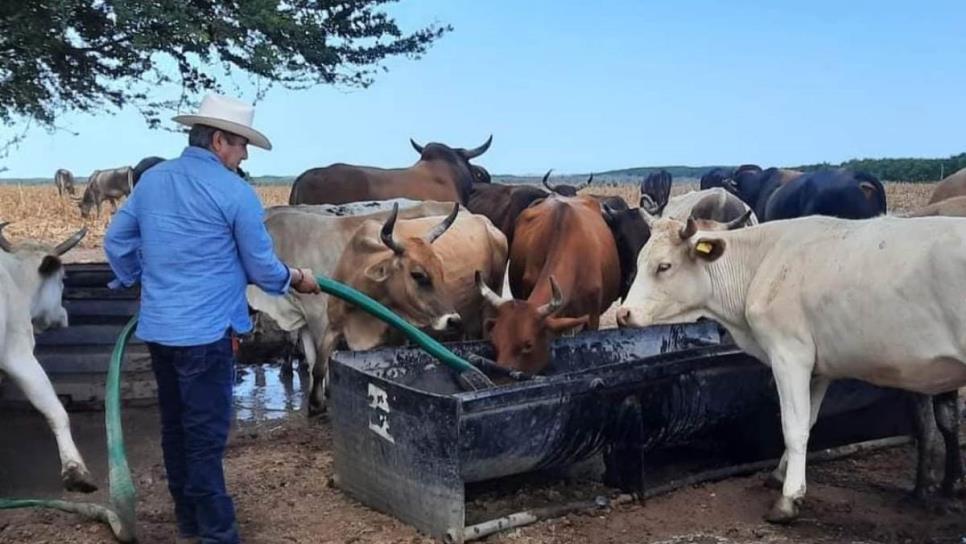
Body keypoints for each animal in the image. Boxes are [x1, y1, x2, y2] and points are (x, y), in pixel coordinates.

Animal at [616, 214, 966, 524]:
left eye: (664, 266)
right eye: (639, 260)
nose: (623, 314)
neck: (761, 263)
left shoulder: (789, 355)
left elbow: (793, 426)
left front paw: (788, 499)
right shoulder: (819, 367)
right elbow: (808, 420)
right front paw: (779, 474)